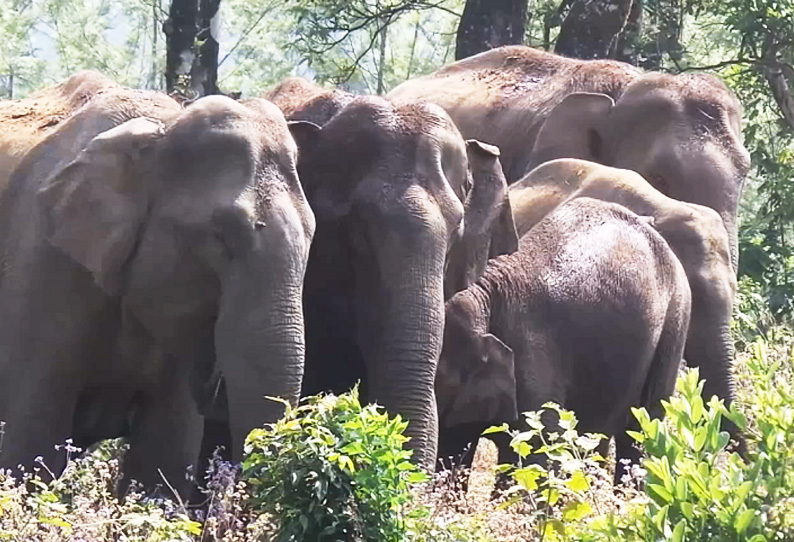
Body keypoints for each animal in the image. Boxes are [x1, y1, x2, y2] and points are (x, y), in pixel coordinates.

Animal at [0, 86, 316, 498]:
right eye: (222, 236)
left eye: (313, 233)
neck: (162, 128)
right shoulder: (39, 266)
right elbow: (29, 446)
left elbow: (163, 457)